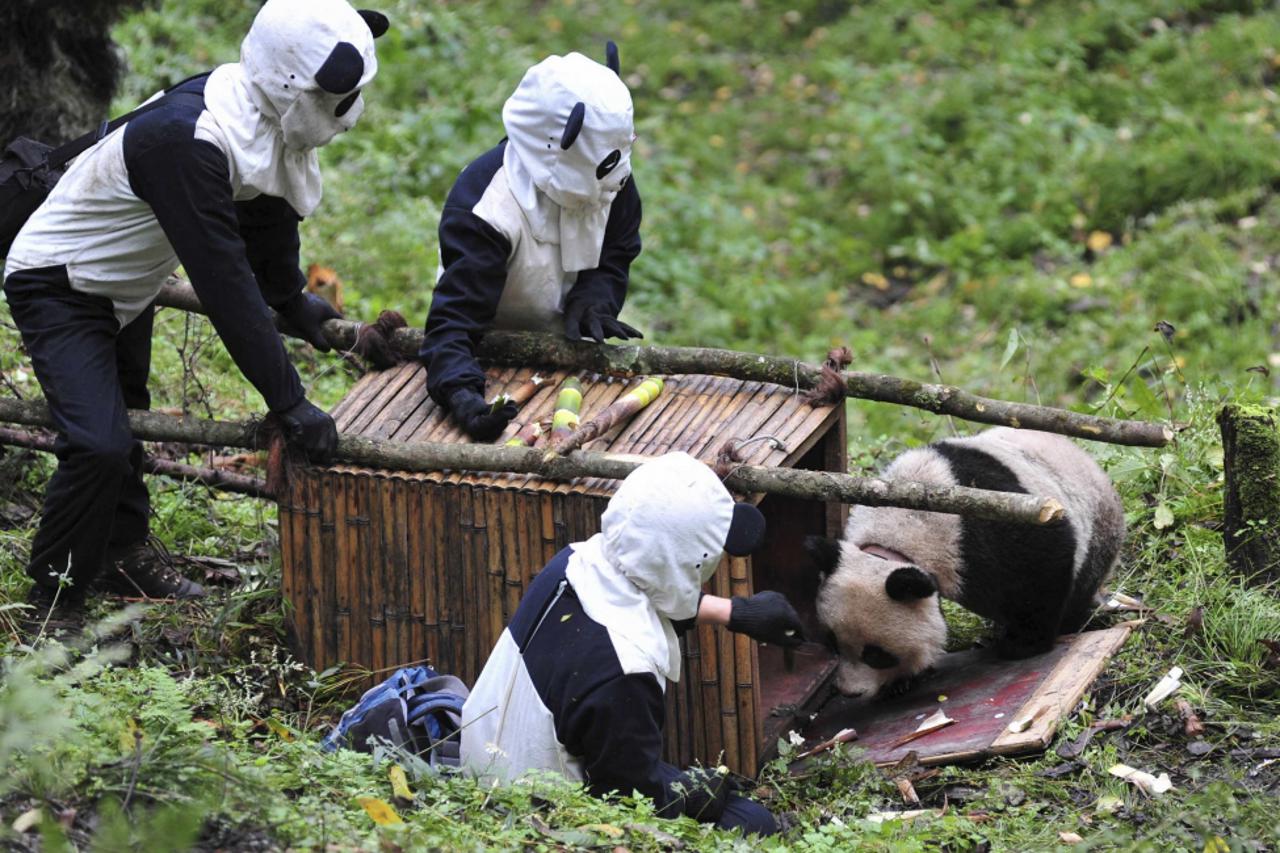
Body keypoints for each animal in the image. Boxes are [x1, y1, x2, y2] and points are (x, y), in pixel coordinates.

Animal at [806, 427, 1125, 698]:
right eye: (833, 643)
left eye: (876, 655)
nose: (850, 692)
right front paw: (903, 681)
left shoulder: (987, 523)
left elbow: (1041, 566)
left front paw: (1022, 645)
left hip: (1096, 527)